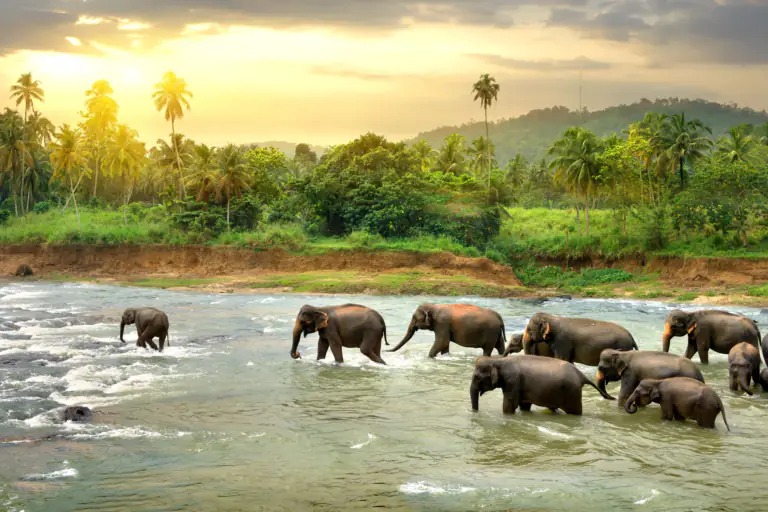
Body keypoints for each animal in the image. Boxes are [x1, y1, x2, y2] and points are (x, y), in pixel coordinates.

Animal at [470, 355, 614, 415]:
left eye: (477, 377)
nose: (475, 412)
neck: (498, 360)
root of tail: (581, 375)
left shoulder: (513, 381)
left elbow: (510, 405)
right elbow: (524, 405)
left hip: (572, 392)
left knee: (575, 412)